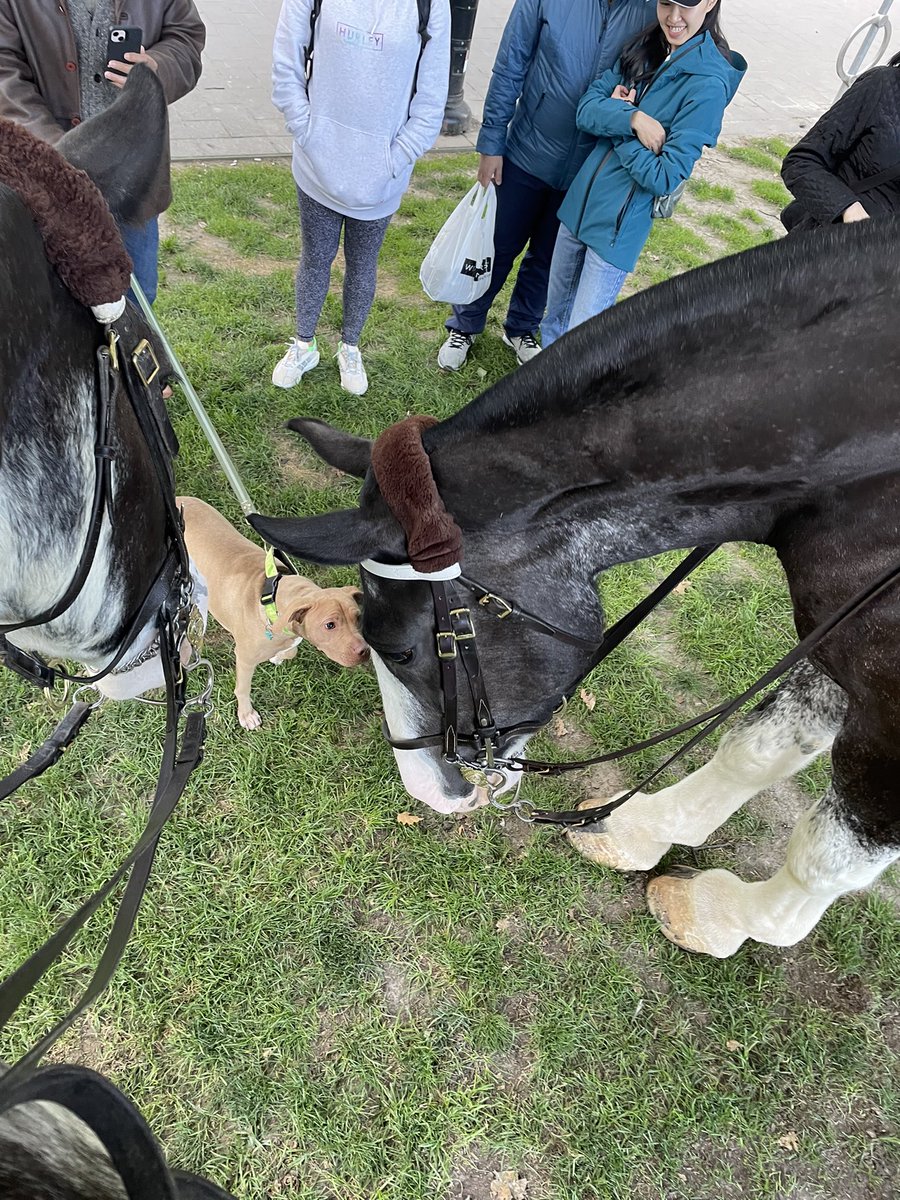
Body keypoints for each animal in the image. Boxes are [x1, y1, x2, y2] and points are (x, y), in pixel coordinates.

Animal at [250, 216, 900, 960]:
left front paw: (727, 919)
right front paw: (639, 832)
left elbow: (829, 857)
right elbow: (753, 752)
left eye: (401, 649)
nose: (429, 793)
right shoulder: (839, 646)